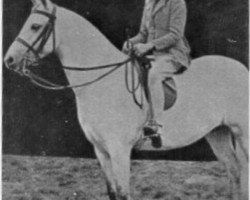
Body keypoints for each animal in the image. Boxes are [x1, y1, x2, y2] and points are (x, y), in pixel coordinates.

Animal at [3, 0, 248, 199]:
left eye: (35, 26)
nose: (9, 59)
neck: (102, 82)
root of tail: (241, 69)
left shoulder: (119, 149)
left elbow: (122, 193)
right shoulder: (101, 150)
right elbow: (112, 192)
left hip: (241, 132)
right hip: (217, 132)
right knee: (234, 171)